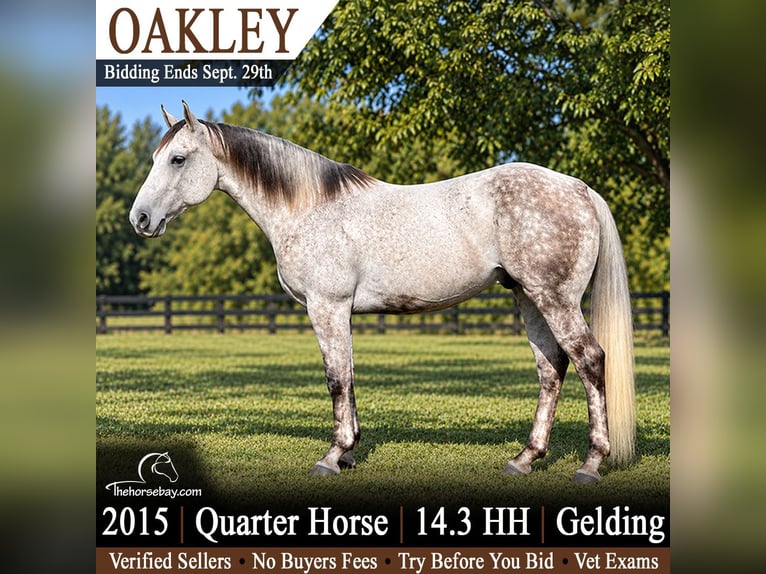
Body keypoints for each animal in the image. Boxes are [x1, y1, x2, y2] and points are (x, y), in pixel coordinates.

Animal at [129, 101, 635, 484]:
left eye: (177, 159)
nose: (140, 219)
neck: (308, 207)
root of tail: (579, 188)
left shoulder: (327, 307)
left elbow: (336, 379)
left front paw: (332, 457)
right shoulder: (341, 312)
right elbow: (349, 378)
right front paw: (350, 452)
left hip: (555, 299)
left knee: (590, 361)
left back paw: (591, 464)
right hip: (529, 298)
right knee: (552, 370)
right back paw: (525, 459)